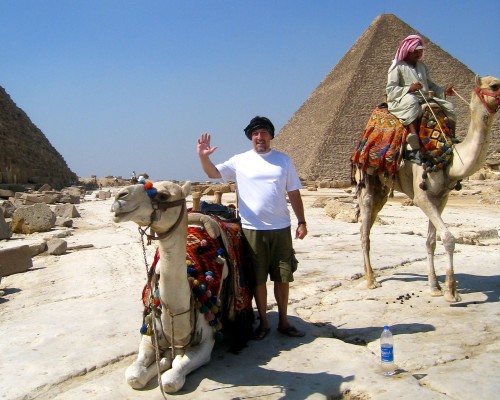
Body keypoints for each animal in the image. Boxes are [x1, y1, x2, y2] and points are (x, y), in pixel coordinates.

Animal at [354, 75, 498, 302]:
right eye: (494, 86)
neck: (448, 157)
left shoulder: (441, 198)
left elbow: (432, 241)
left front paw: (435, 286)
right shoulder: (422, 197)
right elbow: (448, 237)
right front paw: (451, 291)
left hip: (382, 191)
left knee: (365, 227)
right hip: (365, 181)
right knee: (364, 231)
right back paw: (371, 280)